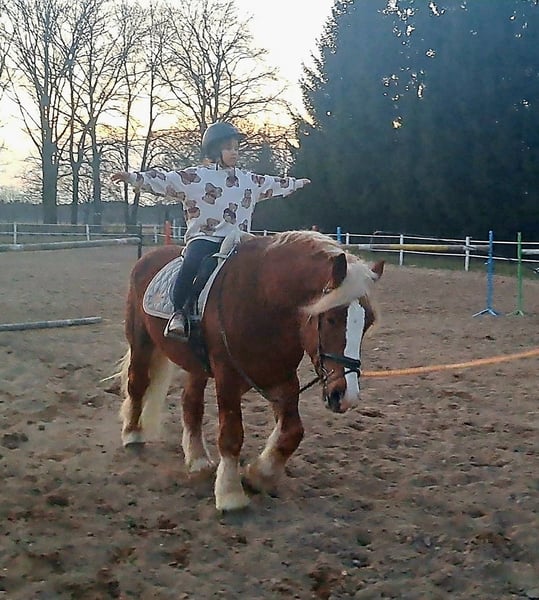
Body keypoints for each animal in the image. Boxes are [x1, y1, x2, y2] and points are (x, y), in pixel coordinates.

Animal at [119, 230, 384, 511]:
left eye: (368, 322)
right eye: (332, 317)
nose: (345, 396)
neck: (262, 299)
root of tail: (146, 258)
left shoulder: (282, 379)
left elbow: (292, 432)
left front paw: (259, 476)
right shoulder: (227, 377)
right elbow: (231, 435)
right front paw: (230, 494)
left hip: (196, 366)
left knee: (190, 404)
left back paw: (198, 460)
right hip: (141, 342)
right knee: (137, 384)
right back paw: (132, 435)